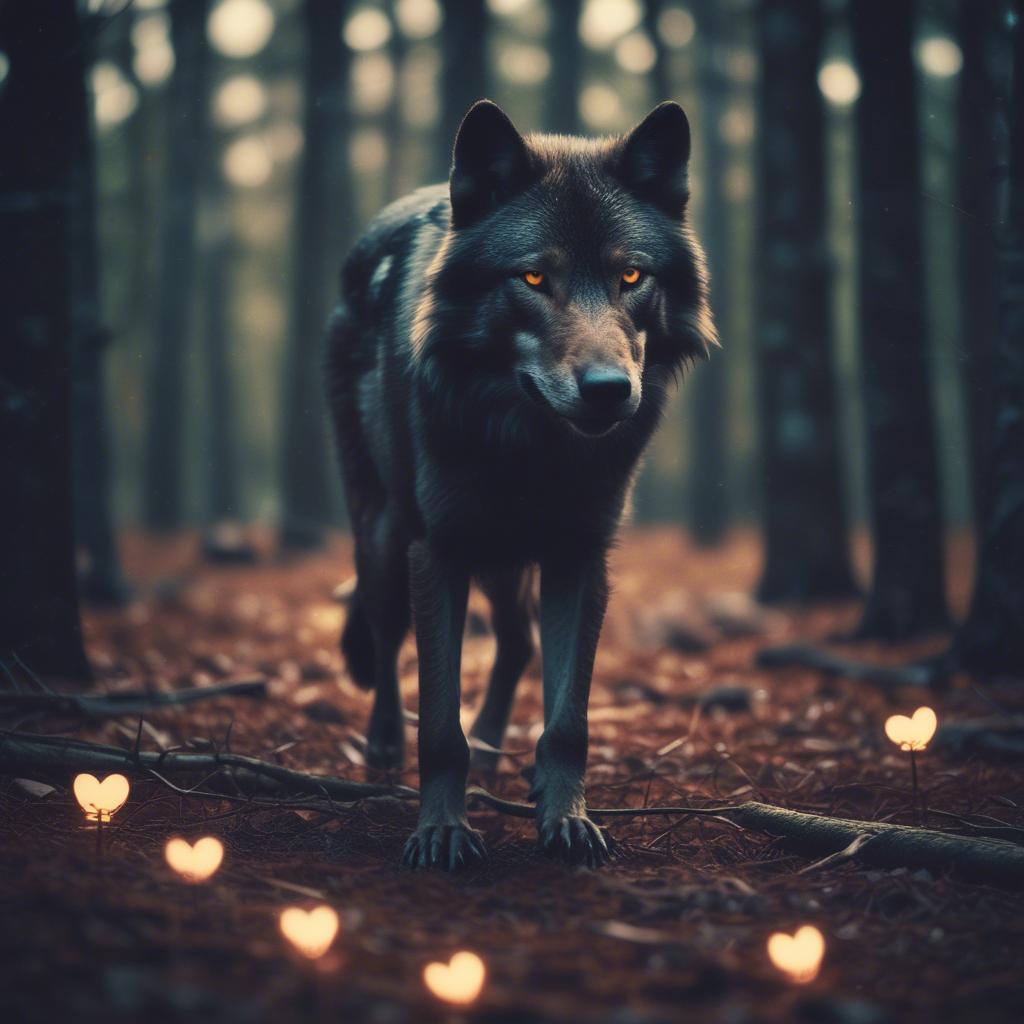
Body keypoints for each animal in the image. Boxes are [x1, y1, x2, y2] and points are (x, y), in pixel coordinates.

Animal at [325, 100, 715, 870]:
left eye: (631, 277)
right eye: (534, 280)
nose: (608, 390)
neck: (534, 447)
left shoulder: (579, 556)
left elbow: (568, 720)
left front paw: (566, 820)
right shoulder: (439, 551)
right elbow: (436, 727)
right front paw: (441, 832)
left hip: (505, 561)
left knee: (516, 642)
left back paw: (491, 744)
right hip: (386, 541)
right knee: (385, 638)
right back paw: (384, 743)